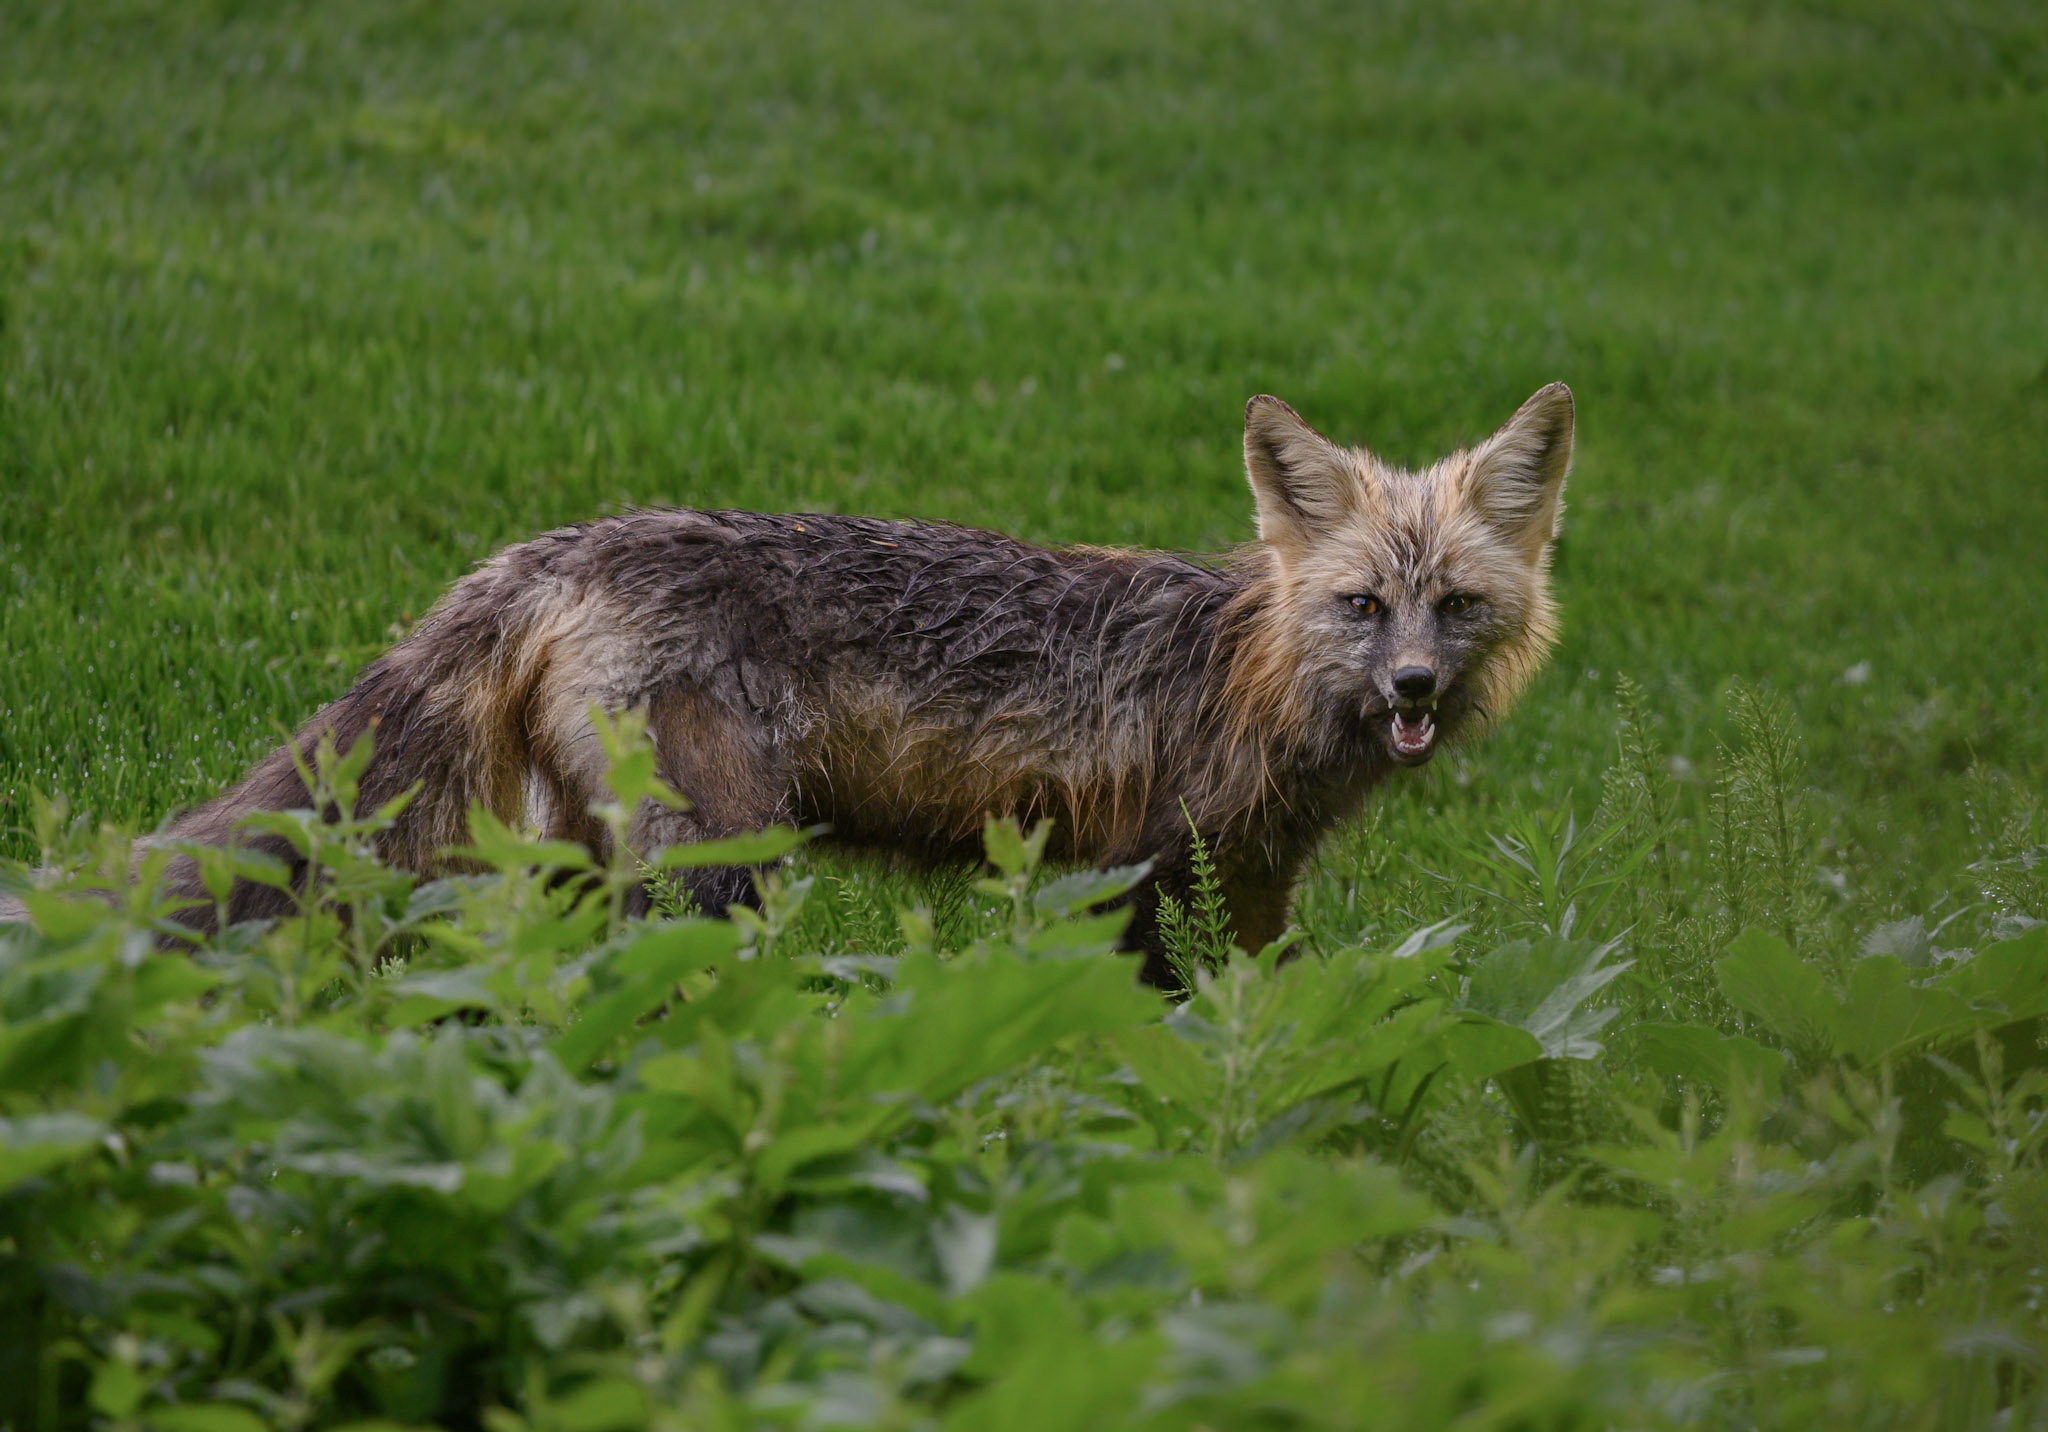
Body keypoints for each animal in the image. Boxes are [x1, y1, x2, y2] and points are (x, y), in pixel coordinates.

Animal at [5, 384, 1573, 985]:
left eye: (1455, 605)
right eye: (1363, 606)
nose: (1415, 688)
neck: (1242, 675)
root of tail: (553, 546)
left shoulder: (1250, 885)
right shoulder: (1129, 869)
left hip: (570, 862)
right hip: (717, 868)